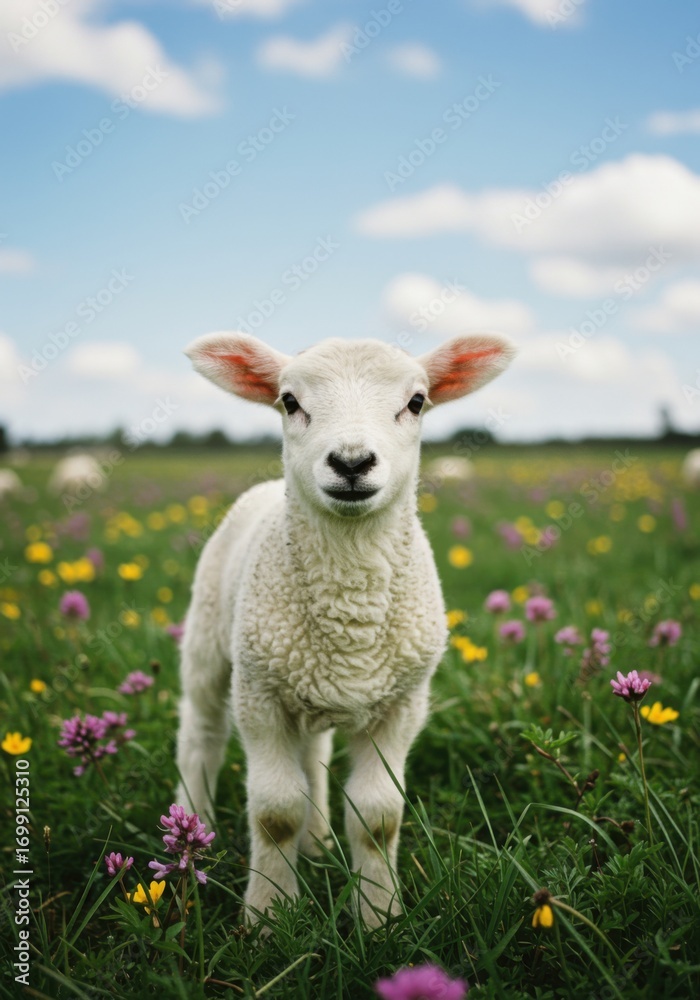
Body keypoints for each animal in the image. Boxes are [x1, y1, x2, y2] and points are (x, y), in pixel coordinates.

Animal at [176, 331, 515, 928]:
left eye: (417, 402)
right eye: (289, 401)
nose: (352, 462)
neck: (351, 619)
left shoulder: (401, 705)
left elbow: (378, 816)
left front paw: (379, 916)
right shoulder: (259, 695)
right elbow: (275, 812)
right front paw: (269, 916)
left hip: (309, 684)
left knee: (313, 755)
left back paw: (317, 843)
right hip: (211, 640)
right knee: (201, 735)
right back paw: (193, 828)